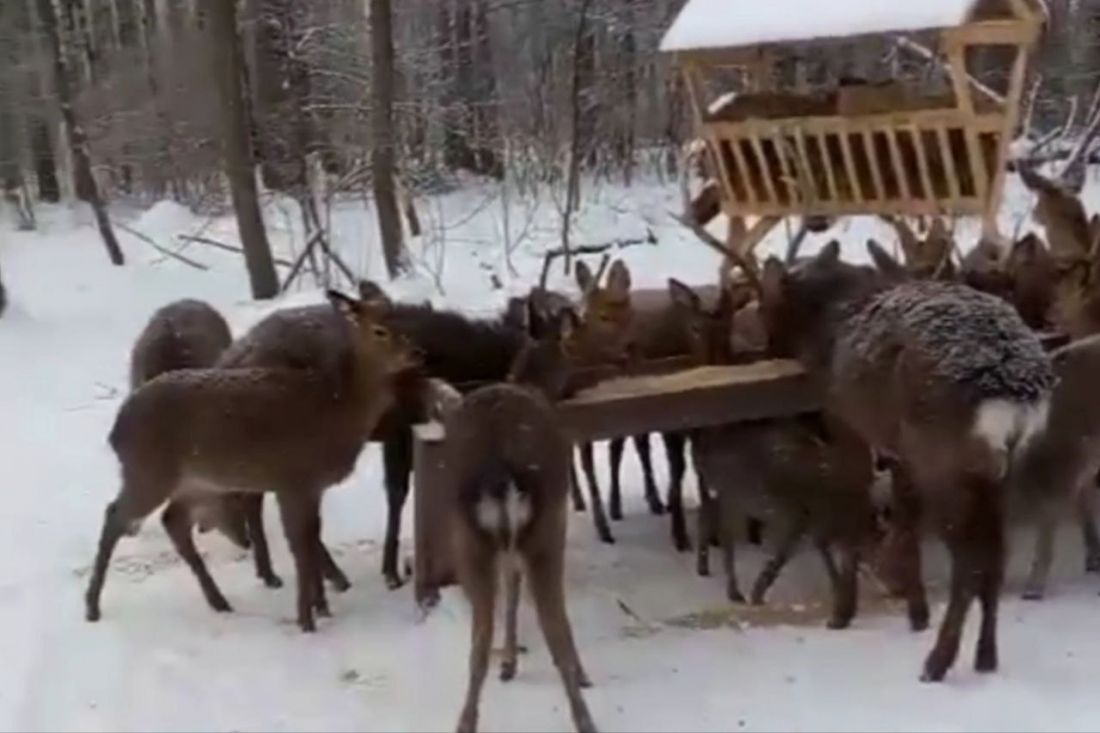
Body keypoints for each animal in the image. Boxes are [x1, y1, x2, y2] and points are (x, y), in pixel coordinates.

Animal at [83, 288, 420, 629]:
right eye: (379, 330)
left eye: (403, 320)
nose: (417, 352)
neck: (337, 406)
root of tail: (115, 432)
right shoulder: (295, 480)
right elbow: (301, 547)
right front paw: (307, 619)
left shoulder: (309, 486)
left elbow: (309, 540)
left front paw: (320, 606)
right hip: (150, 472)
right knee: (115, 515)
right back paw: (92, 606)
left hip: (198, 481)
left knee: (172, 520)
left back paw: (219, 601)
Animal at [429, 301, 602, 730]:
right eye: (572, 346)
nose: (580, 382)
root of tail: (499, 471)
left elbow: (510, 587)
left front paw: (508, 662)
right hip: (545, 528)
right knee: (553, 626)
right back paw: (584, 709)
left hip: (469, 539)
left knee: (479, 640)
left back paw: (466, 720)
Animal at [756, 239, 1056, 677]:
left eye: (762, 301)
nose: (762, 347)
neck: (830, 322)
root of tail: (1012, 389)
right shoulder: (898, 451)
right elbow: (906, 517)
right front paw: (916, 610)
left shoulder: (850, 425)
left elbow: (856, 513)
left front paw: (842, 612)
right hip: (1004, 464)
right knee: (996, 555)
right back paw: (985, 657)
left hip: (943, 456)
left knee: (970, 560)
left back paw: (938, 662)